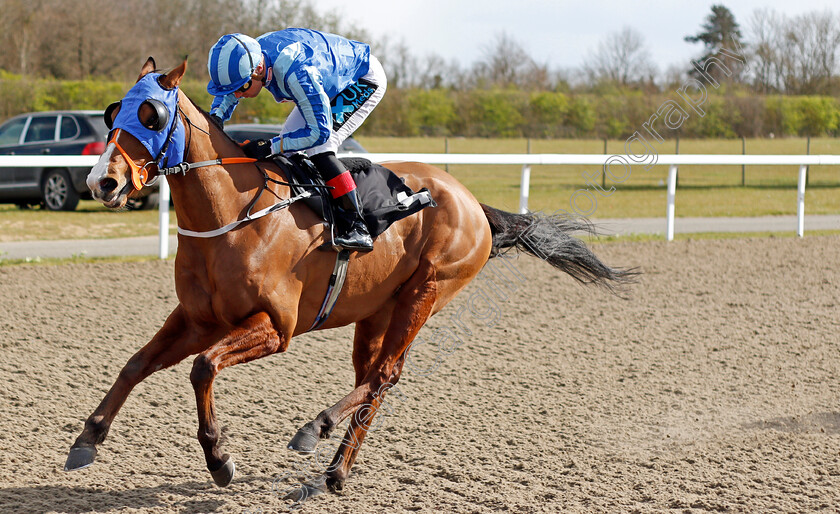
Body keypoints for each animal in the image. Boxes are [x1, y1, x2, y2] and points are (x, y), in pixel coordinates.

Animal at [65, 59, 632, 496]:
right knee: (372, 377)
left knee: (385, 376)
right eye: (113, 113)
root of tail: (473, 203)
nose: (102, 181)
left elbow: (203, 368)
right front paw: (86, 439)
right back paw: (333, 472)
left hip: (425, 293)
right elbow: (135, 364)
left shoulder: (275, 327)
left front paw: (219, 459)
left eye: (151, 115)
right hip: (376, 311)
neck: (234, 216)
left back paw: (315, 430)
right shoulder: (197, 318)